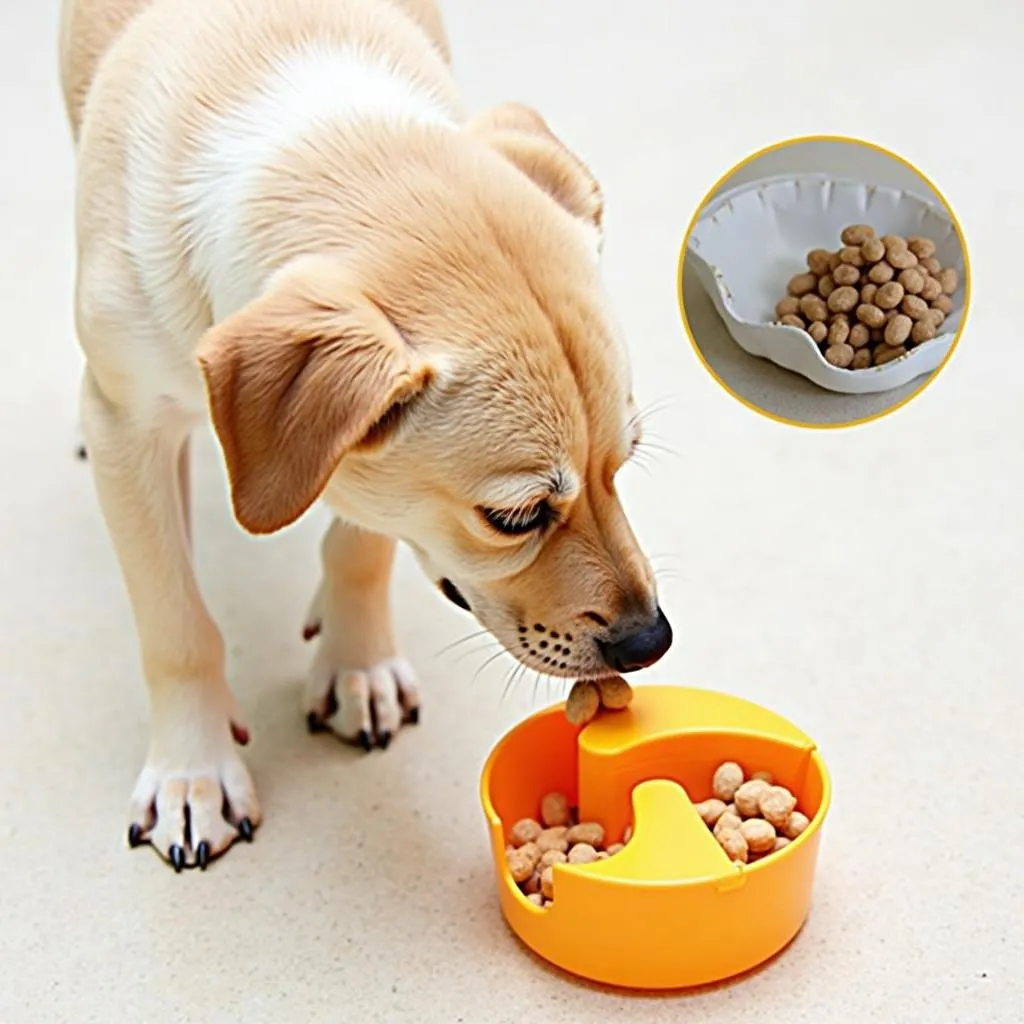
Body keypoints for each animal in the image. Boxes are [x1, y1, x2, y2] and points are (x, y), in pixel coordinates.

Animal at [59, 0, 675, 872]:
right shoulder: (130, 429)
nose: (650, 642)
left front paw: (358, 666)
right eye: (514, 518)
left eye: (622, 467)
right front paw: (194, 775)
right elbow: (175, 622)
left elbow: (362, 545)